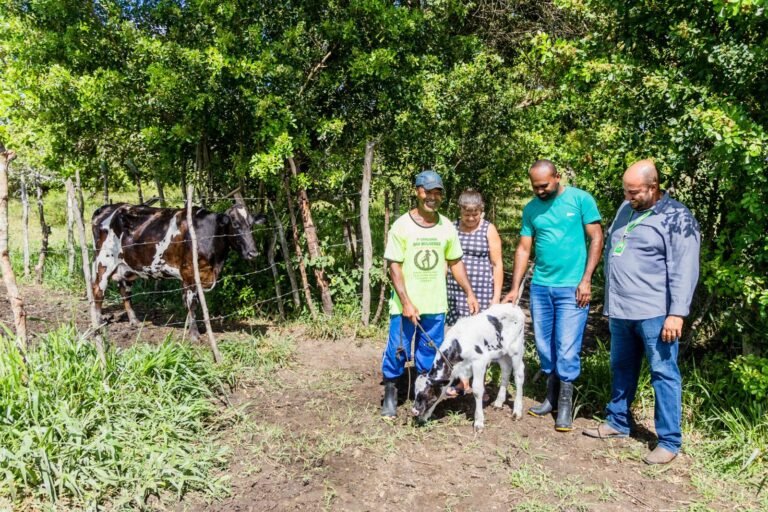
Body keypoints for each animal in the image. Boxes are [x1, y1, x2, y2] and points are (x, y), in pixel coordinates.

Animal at [91, 200, 266, 340]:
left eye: (251, 225)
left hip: (127, 266)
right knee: (98, 291)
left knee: (125, 291)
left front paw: (190, 328)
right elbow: (192, 304)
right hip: (104, 261)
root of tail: (108, 207)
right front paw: (194, 334)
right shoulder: (189, 273)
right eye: (235, 225)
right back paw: (98, 324)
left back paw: (135, 321)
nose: (253, 253)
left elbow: (191, 303)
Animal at [412, 302, 524, 430]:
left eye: (426, 394)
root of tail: (514, 306)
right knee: (506, 371)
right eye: (415, 393)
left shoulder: (479, 362)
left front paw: (479, 422)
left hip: (516, 349)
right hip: (501, 353)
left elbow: (477, 390)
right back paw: (498, 403)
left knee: (519, 375)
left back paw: (517, 411)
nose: (414, 411)